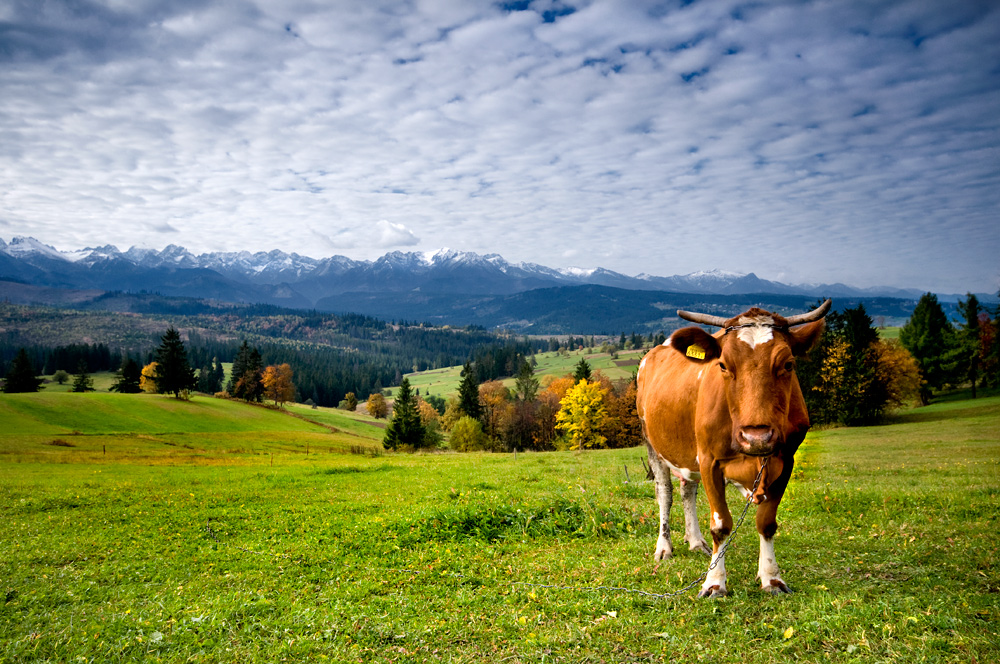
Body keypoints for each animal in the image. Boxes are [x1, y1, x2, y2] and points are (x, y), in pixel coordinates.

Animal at [636, 300, 832, 596]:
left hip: (686, 453)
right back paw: (664, 547)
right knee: (665, 494)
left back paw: (695, 541)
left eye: (788, 364)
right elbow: (721, 525)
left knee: (687, 491)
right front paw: (714, 582)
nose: (756, 436)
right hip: (652, 443)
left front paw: (771, 578)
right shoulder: (709, 460)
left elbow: (766, 522)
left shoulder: (786, 459)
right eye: (723, 365)